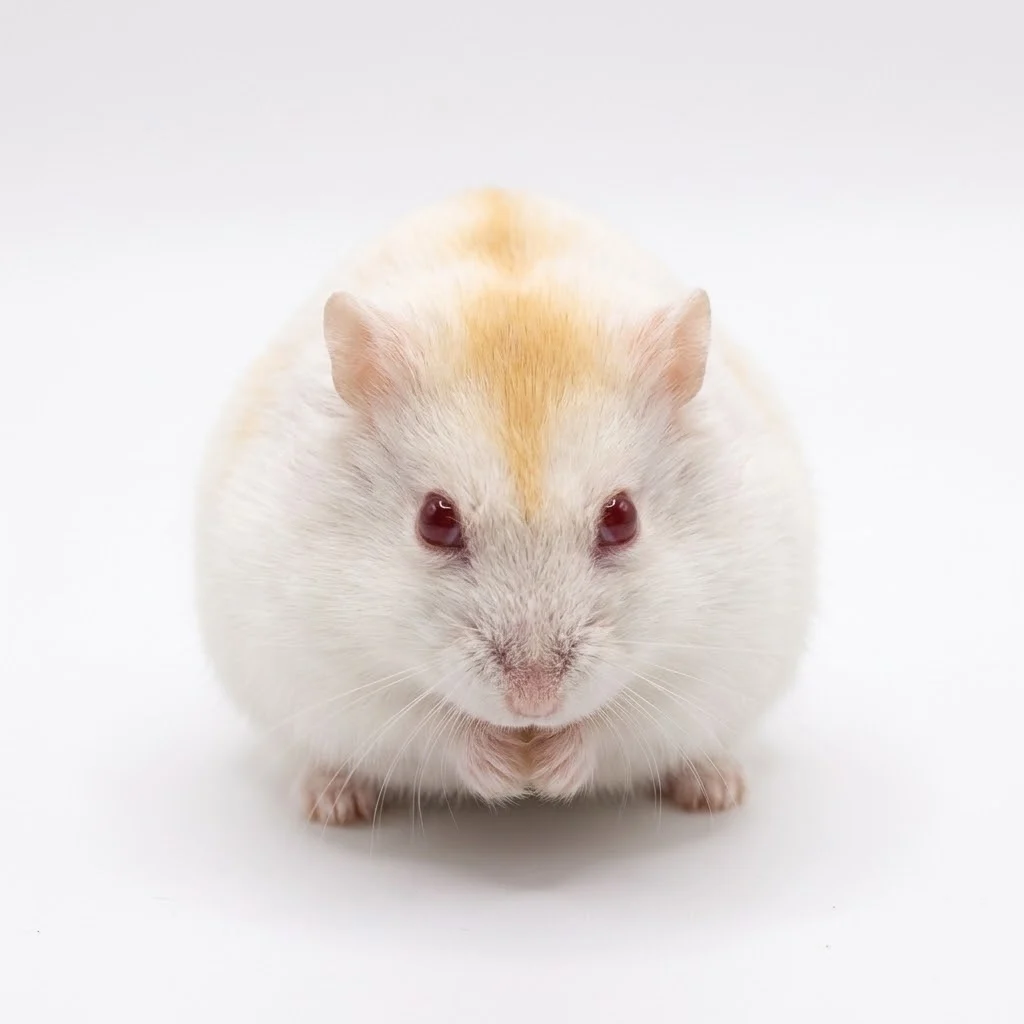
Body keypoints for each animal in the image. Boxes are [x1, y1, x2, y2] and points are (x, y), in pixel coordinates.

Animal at [194, 189, 815, 825]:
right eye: (435, 519)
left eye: (622, 518)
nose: (533, 703)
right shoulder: (334, 679)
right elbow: (439, 732)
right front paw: (512, 770)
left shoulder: (710, 662)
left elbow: (612, 726)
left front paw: (545, 768)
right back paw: (333, 804)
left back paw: (716, 790)